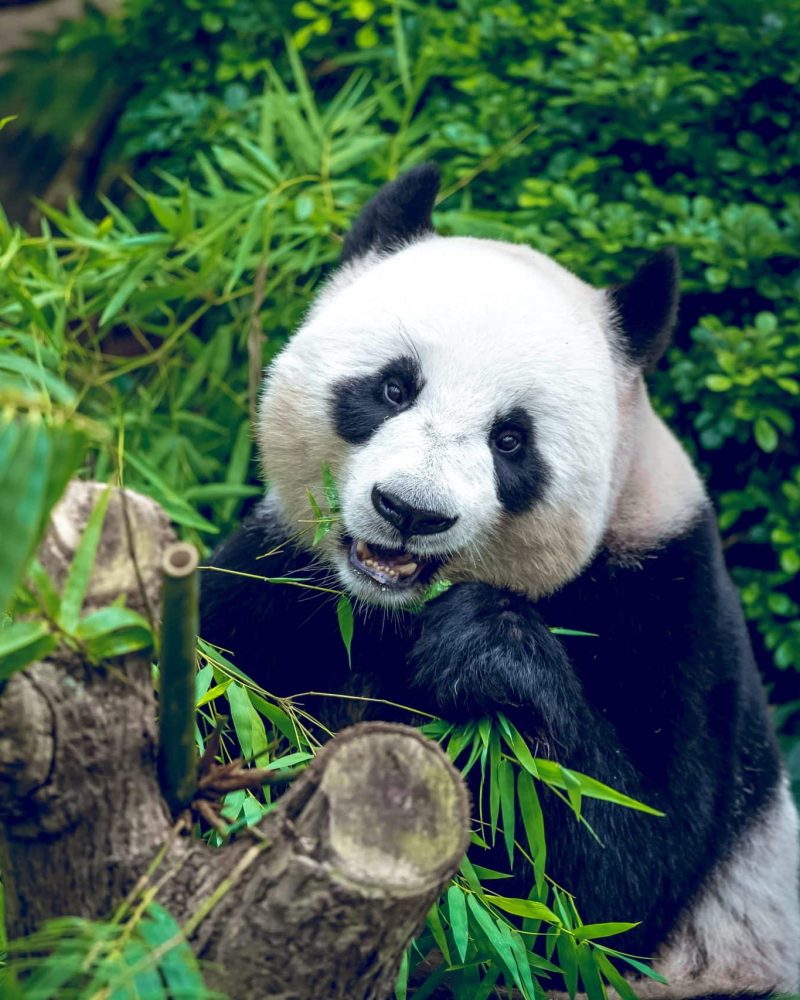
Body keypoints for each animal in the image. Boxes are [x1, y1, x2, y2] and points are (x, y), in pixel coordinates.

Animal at [200, 164, 800, 997]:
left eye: (512, 440)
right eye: (394, 388)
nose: (411, 511)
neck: (388, 611)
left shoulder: (671, 601)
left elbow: (610, 882)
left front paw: (481, 650)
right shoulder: (280, 578)